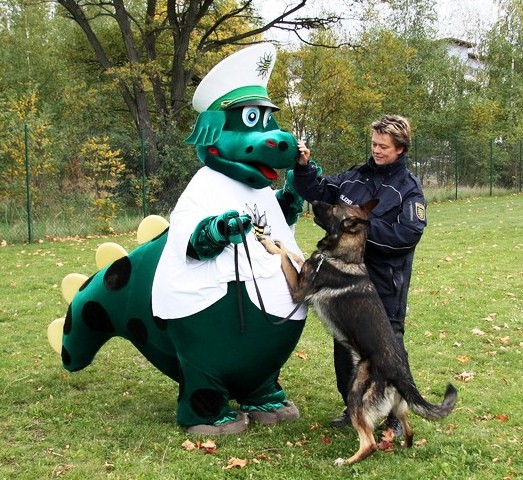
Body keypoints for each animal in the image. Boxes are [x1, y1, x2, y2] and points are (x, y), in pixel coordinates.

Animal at [260, 200, 456, 464]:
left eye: (333, 208)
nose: (315, 202)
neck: (344, 256)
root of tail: (400, 374)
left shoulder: (299, 291)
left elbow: (286, 258)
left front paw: (269, 243)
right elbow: (294, 255)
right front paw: (279, 243)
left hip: (356, 394)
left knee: (369, 443)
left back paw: (346, 461)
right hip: (398, 407)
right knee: (409, 429)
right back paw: (403, 446)